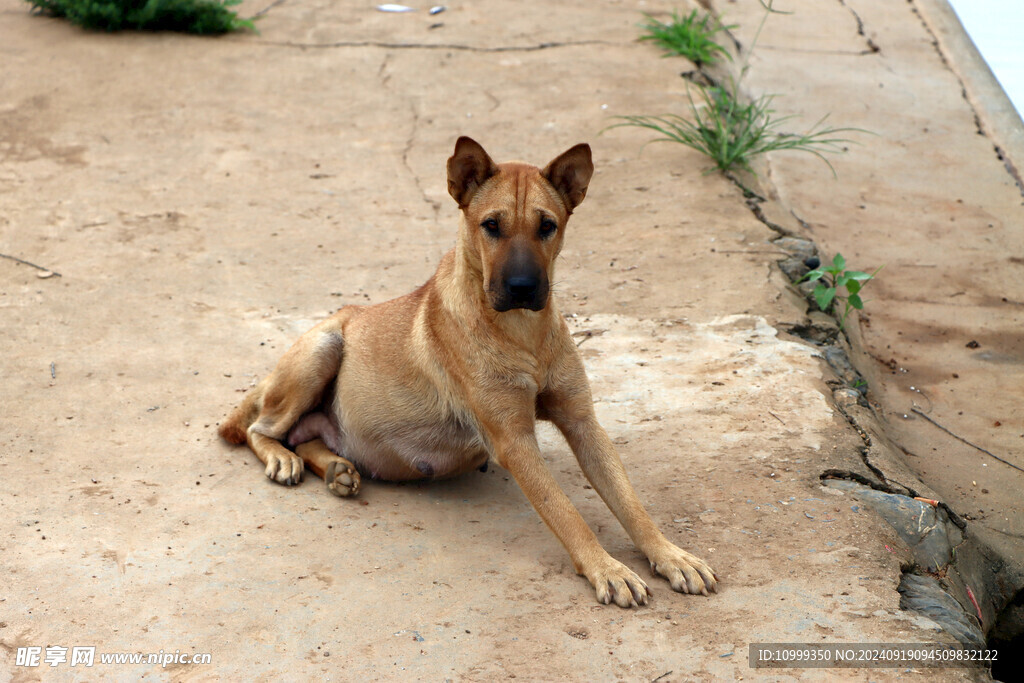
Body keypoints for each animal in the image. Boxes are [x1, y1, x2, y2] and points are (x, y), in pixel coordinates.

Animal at [222, 136, 720, 606]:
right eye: (492, 226)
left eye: (547, 226)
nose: (522, 288)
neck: (523, 334)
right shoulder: (513, 441)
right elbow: (565, 511)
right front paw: (607, 568)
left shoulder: (583, 423)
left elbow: (630, 502)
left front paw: (670, 555)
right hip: (323, 348)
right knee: (261, 430)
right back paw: (284, 459)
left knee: (304, 434)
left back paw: (336, 469)